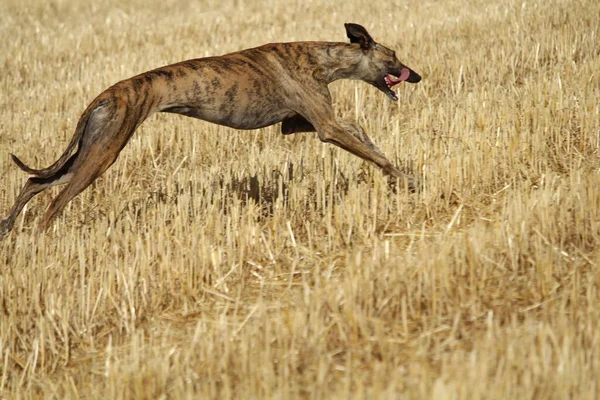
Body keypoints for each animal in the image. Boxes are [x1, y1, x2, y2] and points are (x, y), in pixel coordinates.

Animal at [0, 22, 422, 241]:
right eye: (393, 57)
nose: (416, 75)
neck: (321, 56)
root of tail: (106, 95)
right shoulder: (325, 126)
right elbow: (368, 149)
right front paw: (407, 179)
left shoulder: (298, 123)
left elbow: (359, 131)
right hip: (103, 154)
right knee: (53, 201)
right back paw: (39, 241)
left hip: (90, 150)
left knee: (35, 183)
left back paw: (7, 229)